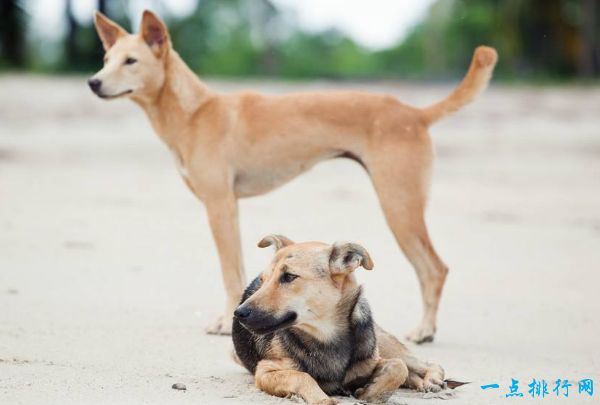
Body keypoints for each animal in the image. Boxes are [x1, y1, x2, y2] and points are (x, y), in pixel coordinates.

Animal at [89, 10, 500, 340]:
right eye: (107, 59)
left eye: (131, 61)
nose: (93, 82)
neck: (195, 111)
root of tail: (415, 113)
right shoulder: (228, 208)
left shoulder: (220, 205)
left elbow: (230, 271)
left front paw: (225, 323)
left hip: (399, 206)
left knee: (434, 269)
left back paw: (425, 330)